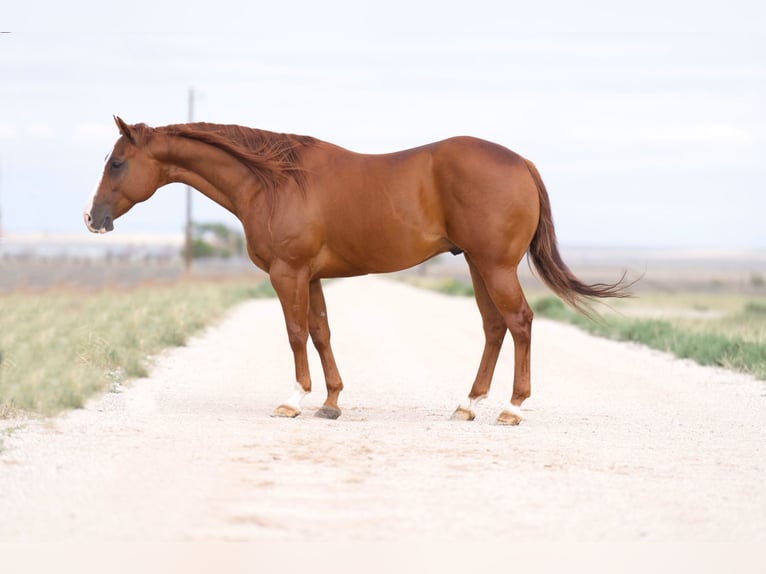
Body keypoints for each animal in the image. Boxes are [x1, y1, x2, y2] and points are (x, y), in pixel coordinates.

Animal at [84, 115, 632, 426]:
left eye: (117, 163)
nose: (92, 219)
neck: (274, 181)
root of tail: (520, 163)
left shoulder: (287, 273)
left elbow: (295, 334)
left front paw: (293, 400)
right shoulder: (311, 277)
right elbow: (321, 333)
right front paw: (331, 401)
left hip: (495, 267)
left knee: (519, 322)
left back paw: (512, 408)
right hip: (479, 266)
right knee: (495, 327)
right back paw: (468, 404)